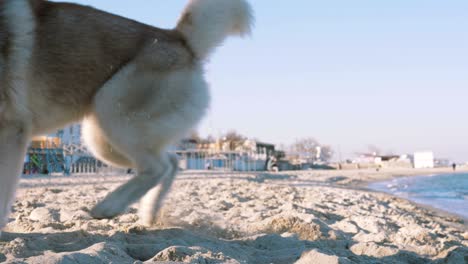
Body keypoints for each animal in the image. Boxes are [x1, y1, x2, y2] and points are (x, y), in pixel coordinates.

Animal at [0, 0, 252, 231]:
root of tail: (178, 39)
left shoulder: (12, 129)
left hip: (112, 113)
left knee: (157, 167)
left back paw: (110, 206)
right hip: (102, 141)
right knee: (170, 162)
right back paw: (149, 213)